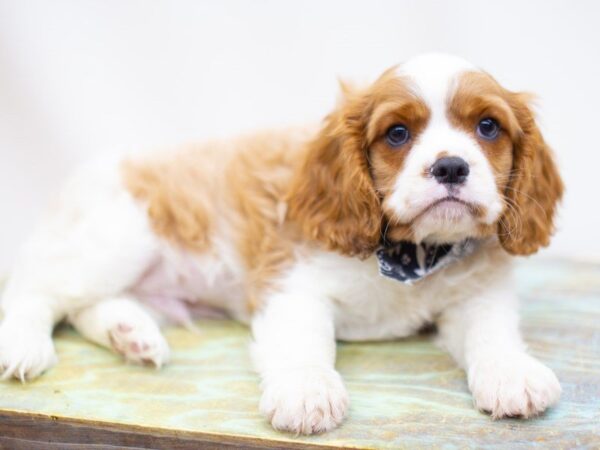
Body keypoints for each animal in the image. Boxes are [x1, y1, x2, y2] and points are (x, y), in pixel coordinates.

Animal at [0, 53, 564, 436]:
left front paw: (512, 373)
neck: (413, 254)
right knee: (37, 289)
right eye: (398, 134)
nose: (450, 166)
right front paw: (307, 390)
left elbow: (492, 333)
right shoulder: (293, 284)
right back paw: (24, 343)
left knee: (85, 306)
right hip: (122, 239)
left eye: (487, 126)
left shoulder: (477, 296)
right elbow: (304, 342)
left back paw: (130, 335)